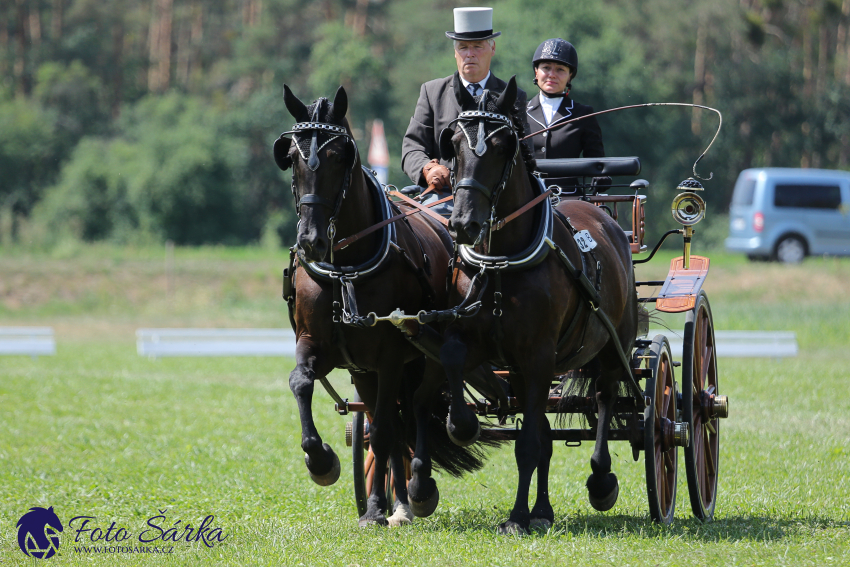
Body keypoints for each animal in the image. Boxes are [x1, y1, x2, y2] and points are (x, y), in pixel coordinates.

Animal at [438, 77, 636, 536]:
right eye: (453, 142)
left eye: (502, 145)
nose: (463, 224)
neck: (502, 261)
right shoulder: (482, 343)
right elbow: (452, 357)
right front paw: (462, 425)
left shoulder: (539, 356)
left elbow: (528, 444)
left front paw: (516, 518)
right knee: (549, 429)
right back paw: (543, 510)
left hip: (612, 346)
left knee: (605, 398)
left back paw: (601, 479)